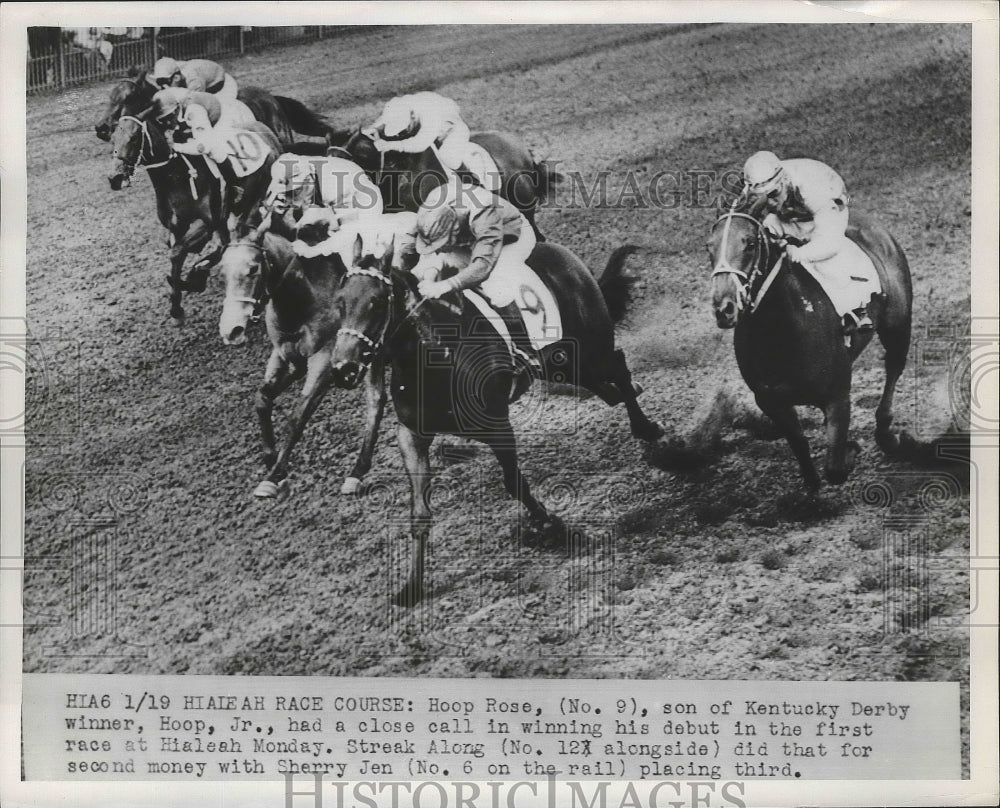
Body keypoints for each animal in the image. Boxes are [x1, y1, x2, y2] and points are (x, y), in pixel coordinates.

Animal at [324, 237, 664, 604]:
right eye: (340, 304)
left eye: (376, 303)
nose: (343, 369)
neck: (435, 357)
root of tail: (556, 250)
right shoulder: (411, 436)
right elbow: (419, 514)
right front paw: (411, 587)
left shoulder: (498, 426)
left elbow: (514, 483)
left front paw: (550, 523)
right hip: (563, 364)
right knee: (608, 385)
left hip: (589, 349)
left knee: (618, 364)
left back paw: (648, 428)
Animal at [708, 208, 912, 486]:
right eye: (709, 247)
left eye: (749, 244)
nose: (724, 308)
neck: (780, 336)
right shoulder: (771, 402)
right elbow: (802, 452)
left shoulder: (838, 397)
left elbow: (835, 469)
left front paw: (850, 450)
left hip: (897, 326)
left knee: (893, 368)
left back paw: (887, 435)